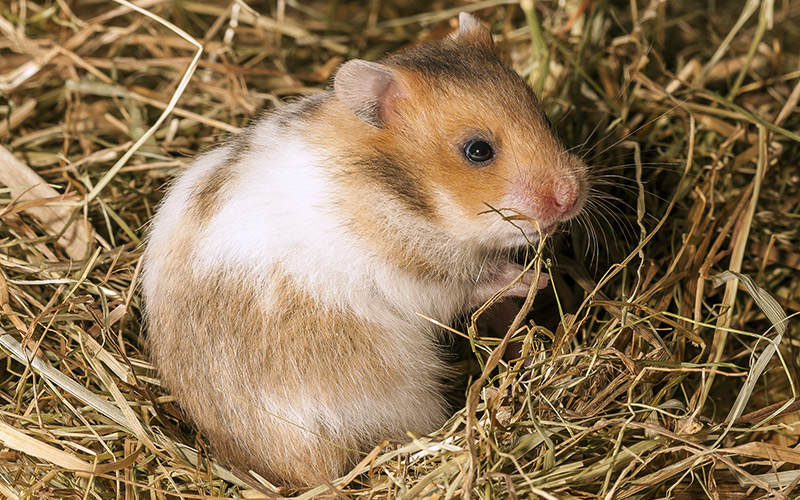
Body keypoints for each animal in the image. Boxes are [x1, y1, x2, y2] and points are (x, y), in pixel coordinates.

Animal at [141, 12, 588, 487]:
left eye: (544, 117)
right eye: (478, 150)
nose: (572, 196)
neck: (399, 193)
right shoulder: (419, 279)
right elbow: (477, 281)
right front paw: (538, 279)